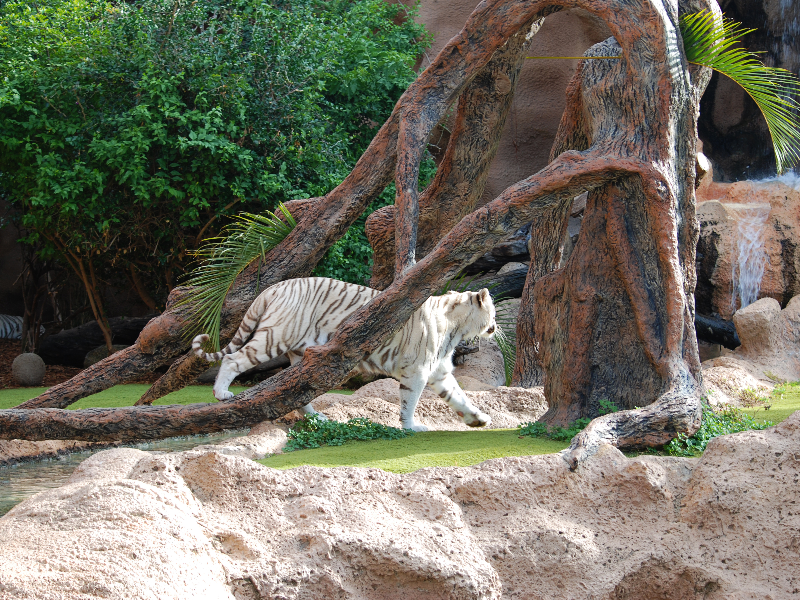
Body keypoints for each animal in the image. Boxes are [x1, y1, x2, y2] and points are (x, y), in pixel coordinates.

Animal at [194, 276, 494, 432]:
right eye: (491, 311)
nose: (495, 327)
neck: (457, 327)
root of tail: (273, 287)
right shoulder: (417, 371)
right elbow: (409, 402)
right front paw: (411, 427)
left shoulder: (439, 372)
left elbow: (459, 397)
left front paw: (477, 419)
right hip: (275, 336)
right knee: (234, 359)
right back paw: (221, 393)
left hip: (300, 355)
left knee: (297, 391)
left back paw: (316, 418)